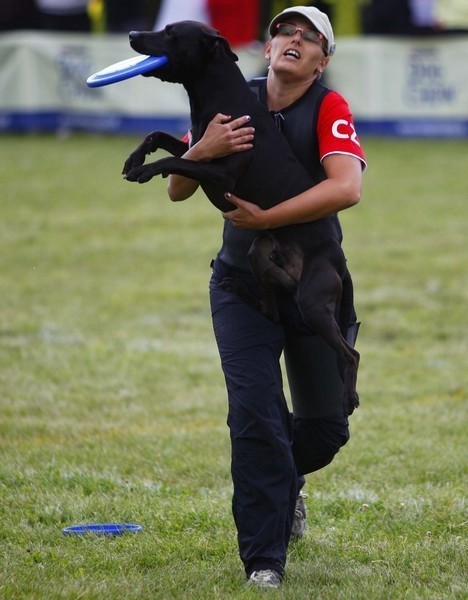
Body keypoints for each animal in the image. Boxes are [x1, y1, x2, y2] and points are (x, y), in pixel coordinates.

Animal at [122, 21, 360, 414]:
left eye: (171, 33)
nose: (131, 35)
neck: (218, 96)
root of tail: (339, 260)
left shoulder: (222, 174)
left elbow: (172, 159)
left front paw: (146, 169)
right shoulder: (198, 147)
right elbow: (159, 136)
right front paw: (134, 159)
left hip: (312, 300)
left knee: (350, 353)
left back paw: (348, 397)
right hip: (260, 253)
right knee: (272, 311)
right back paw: (236, 287)